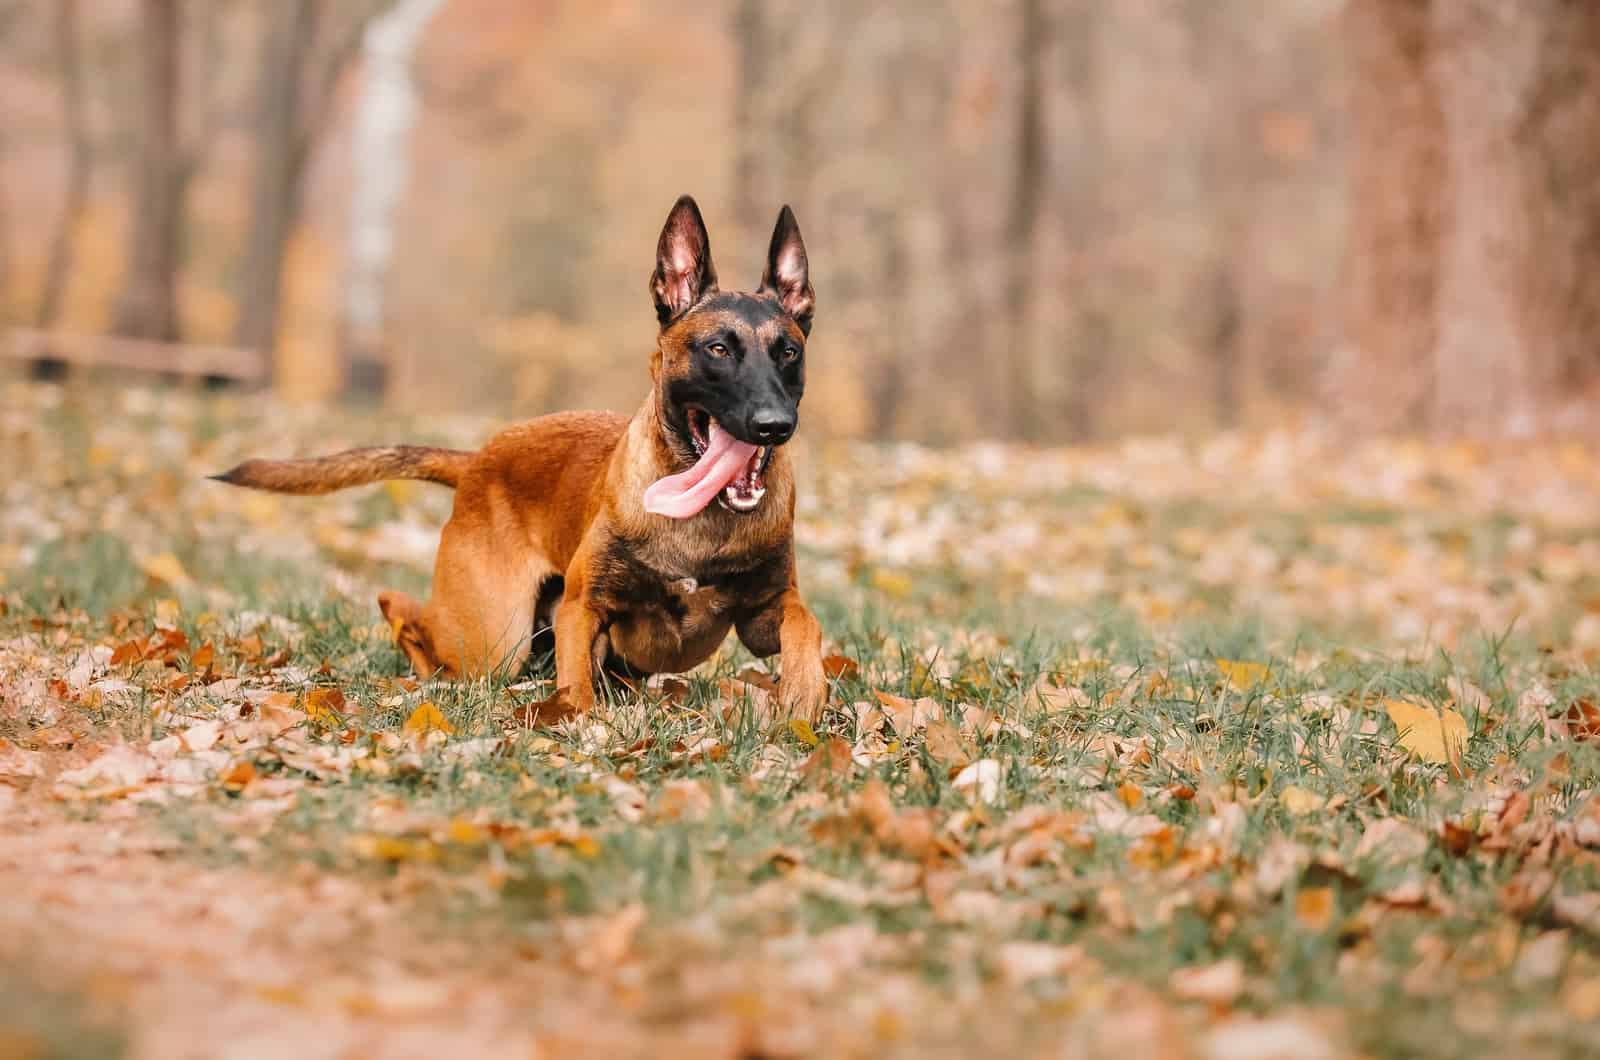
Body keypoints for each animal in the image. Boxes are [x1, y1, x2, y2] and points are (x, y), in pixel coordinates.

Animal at [216, 196, 825, 730]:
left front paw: (805, 690)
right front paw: (579, 724)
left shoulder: (763, 615)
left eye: (788, 352)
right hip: (494, 634)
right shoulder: (582, 609)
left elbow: (805, 623)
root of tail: (477, 459)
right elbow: (577, 686)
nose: (774, 425)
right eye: (718, 350)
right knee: (405, 612)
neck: (701, 521)